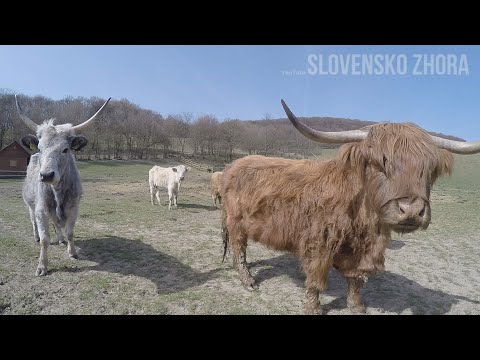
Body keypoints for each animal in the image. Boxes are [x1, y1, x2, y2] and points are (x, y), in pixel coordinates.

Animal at [16, 95, 111, 276]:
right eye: (40, 147)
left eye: (65, 149)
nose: (46, 175)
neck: (58, 192)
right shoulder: (41, 209)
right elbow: (45, 239)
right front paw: (42, 266)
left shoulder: (74, 207)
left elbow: (70, 232)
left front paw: (72, 252)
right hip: (30, 204)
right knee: (33, 220)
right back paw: (36, 236)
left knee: (56, 224)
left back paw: (60, 239)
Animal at [220, 99, 480, 316]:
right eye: (379, 164)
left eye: (429, 169)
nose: (411, 210)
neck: (364, 222)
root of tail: (232, 165)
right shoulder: (319, 244)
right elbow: (315, 280)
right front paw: (313, 309)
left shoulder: (362, 251)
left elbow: (356, 281)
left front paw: (357, 306)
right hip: (236, 221)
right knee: (239, 248)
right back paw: (248, 281)